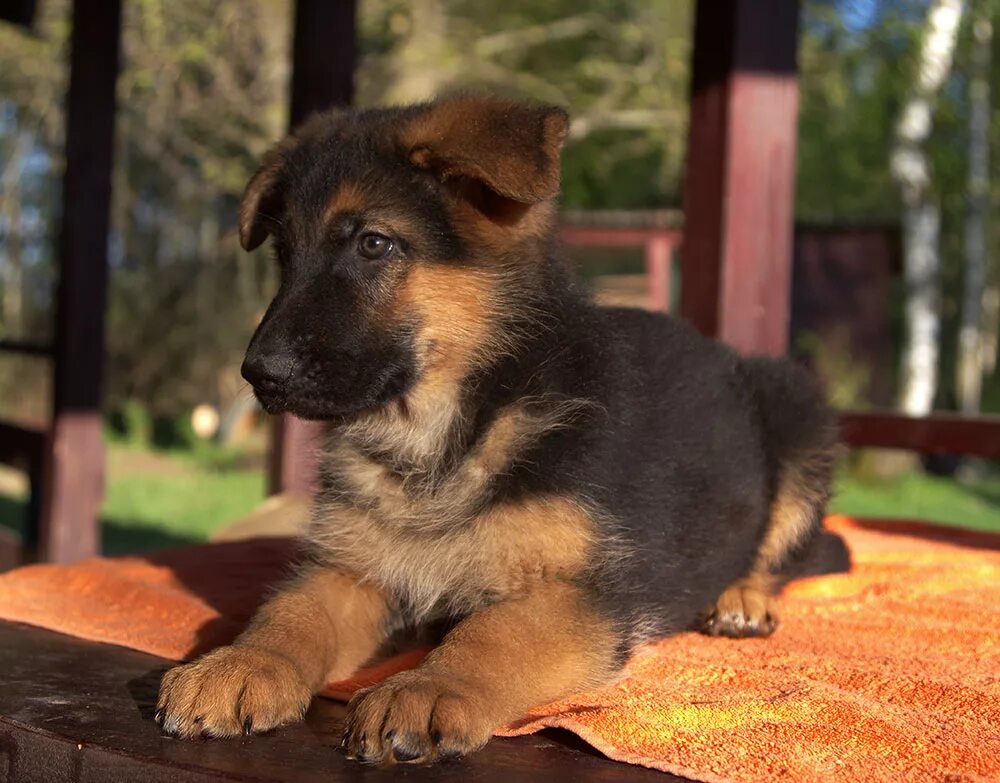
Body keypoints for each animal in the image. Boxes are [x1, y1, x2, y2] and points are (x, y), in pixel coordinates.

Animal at [156, 95, 840, 764]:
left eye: (373, 245)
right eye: (284, 254)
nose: (257, 373)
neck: (444, 434)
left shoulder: (577, 595)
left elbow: (494, 634)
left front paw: (428, 686)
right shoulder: (350, 570)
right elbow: (291, 612)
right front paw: (240, 663)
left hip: (797, 410)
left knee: (780, 550)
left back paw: (742, 598)